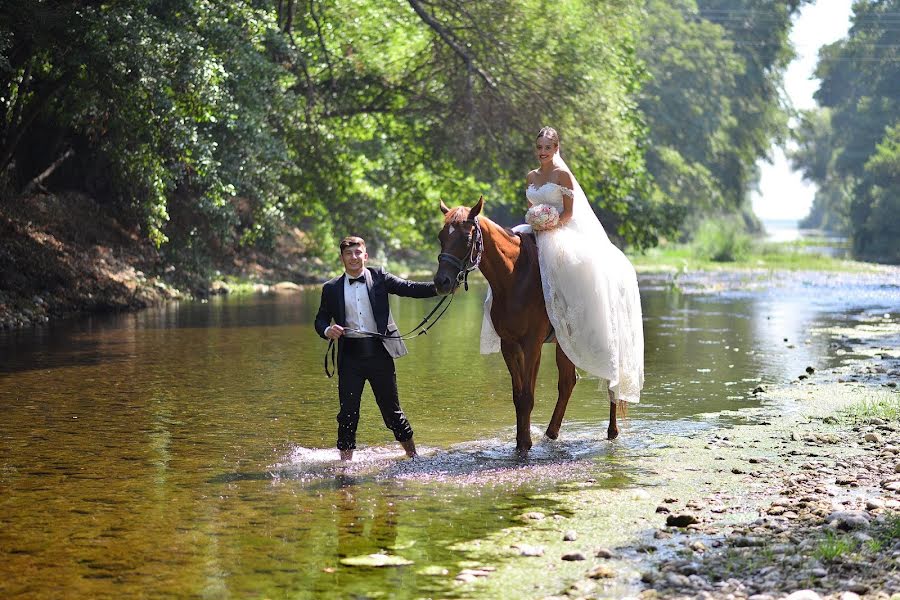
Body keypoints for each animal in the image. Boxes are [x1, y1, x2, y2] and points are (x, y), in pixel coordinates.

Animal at [434, 197, 620, 454]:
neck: (514, 277)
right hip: (566, 343)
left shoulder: (532, 345)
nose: (441, 282)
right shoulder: (510, 345)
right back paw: (551, 434)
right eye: (441, 236)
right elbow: (518, 395)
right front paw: (521, 441)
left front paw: (525, 443)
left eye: (467, 239)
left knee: (612, 379)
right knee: (567, 383)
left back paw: (612, 431)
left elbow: (528, 396)